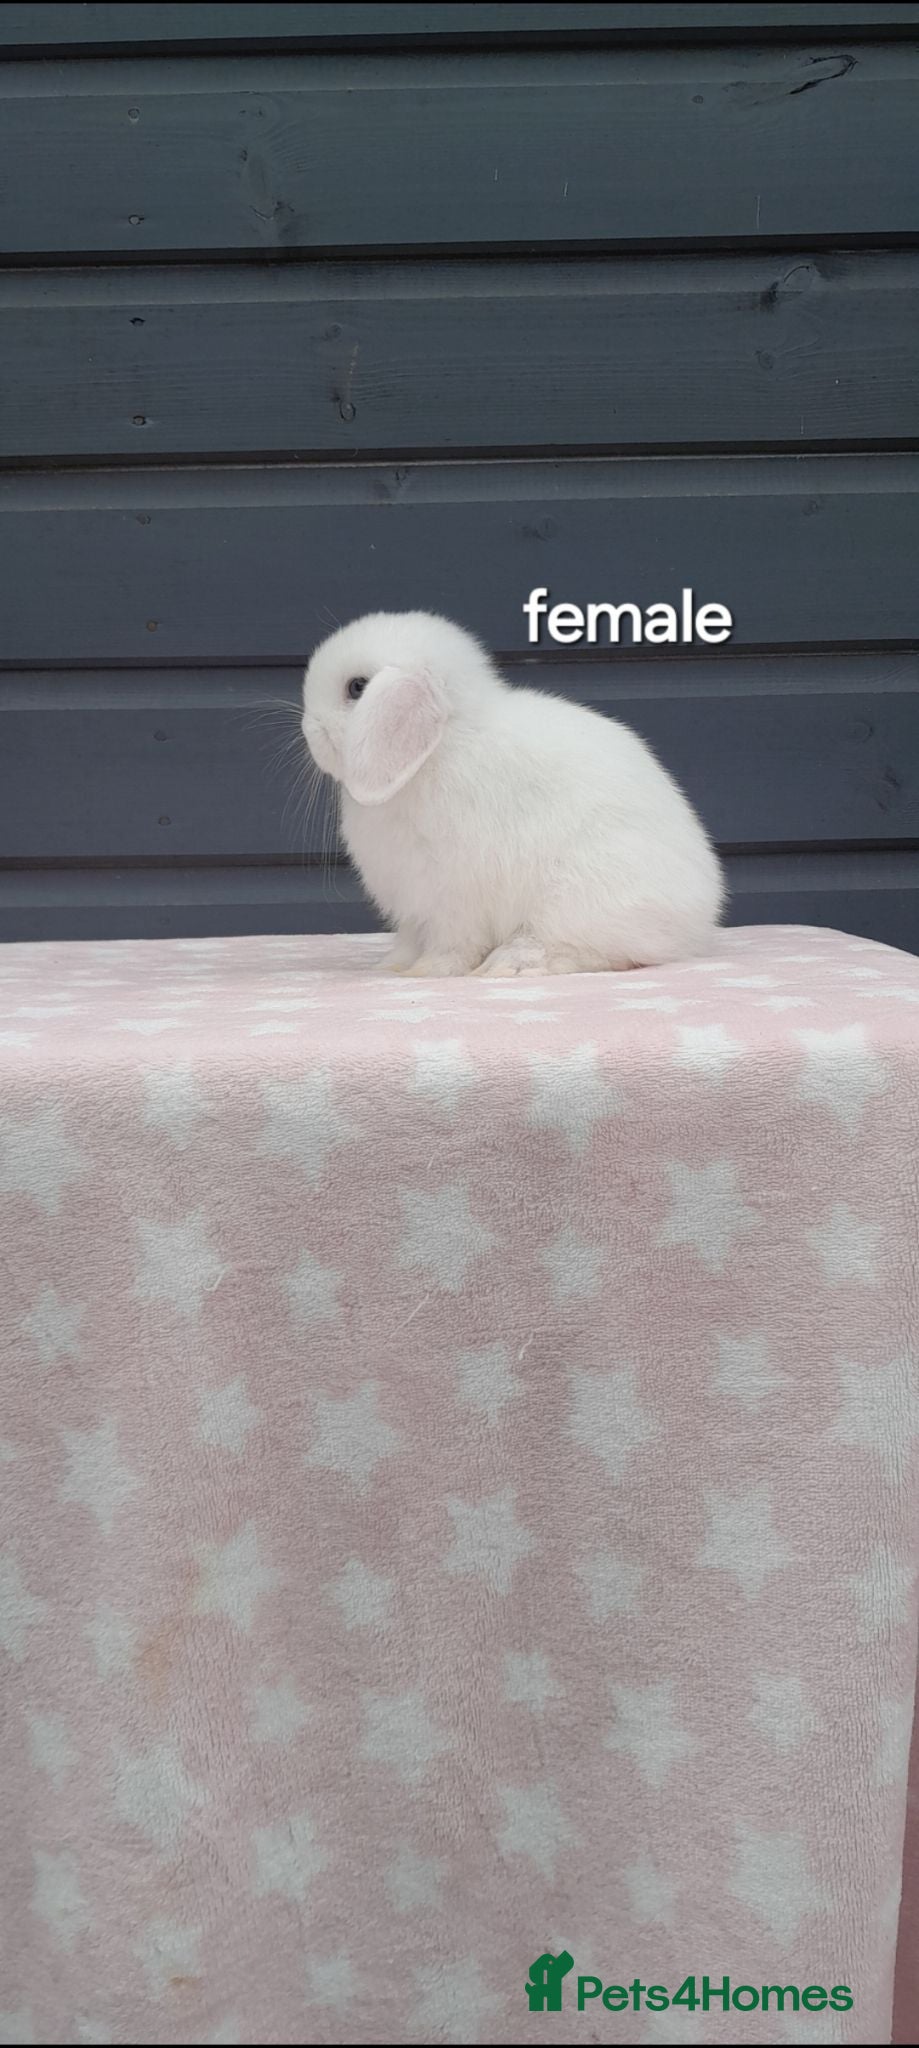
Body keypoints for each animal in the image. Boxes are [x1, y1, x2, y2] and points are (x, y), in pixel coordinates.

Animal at [301, 610, 724, 976]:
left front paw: (427, 972)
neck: (442, 747)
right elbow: (408, 942)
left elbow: (453, 945)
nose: (308, 730)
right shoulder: (412, 908)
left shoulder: (451, 895)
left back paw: (513, 962)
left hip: (579, 897)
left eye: (357, 687)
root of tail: (698, 920)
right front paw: (391, 966)